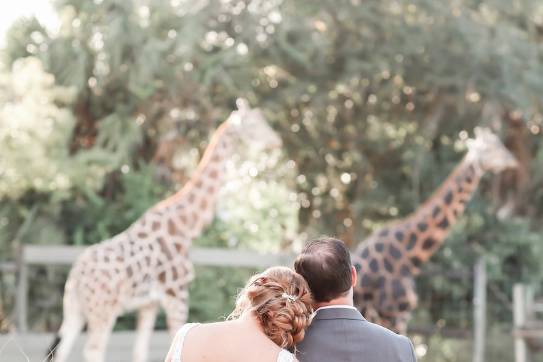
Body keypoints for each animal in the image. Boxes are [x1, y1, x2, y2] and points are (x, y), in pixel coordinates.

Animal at [47, 99, 282, 362]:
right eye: (253, 124)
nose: (276, 141)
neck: (185, 226)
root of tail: (76, 276)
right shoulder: (176, 295)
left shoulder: (148, 304)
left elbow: (140, 351)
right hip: (103, 310)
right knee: (93, 349)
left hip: (74, 309)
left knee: (62, 348)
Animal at [352, 127, 520, 334]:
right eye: (488, 148)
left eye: (499, 143)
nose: (512, 160)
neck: (408, 255)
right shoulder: (391, 313)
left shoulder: (400, 316)